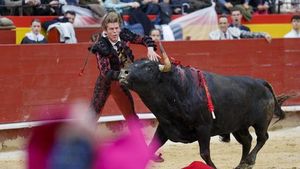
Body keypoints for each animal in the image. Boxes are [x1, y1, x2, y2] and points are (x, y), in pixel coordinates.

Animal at [118, 44, 290, 169]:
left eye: (148, 67)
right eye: (134, 64)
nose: (123, 73)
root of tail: (261, 82)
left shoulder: (204, 128)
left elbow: (204, 154)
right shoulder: (164, 128)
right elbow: (148, 150)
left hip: (261, 122)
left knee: (262, 137)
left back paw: (249, 161)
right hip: (237, 126)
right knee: (247, 140)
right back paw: (241, 165)